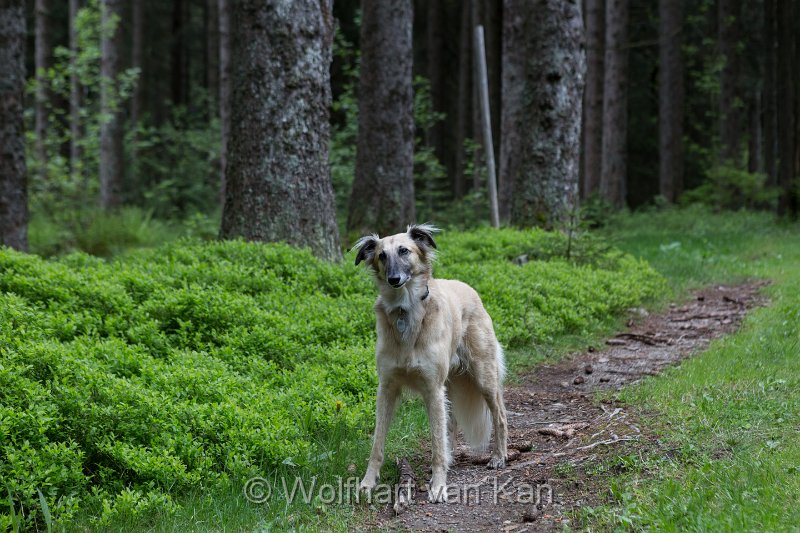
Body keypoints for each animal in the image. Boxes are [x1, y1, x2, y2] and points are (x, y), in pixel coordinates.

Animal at [352, 224, 506, 502]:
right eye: (381, 256)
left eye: (404, 251)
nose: (394, 279)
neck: (405, 311)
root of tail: (469, 289)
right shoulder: (387, 389)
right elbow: (377, 444)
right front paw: (368, 483)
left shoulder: (432, 389)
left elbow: (436, 442)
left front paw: (438, 486)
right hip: (451, 385)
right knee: (451, 423)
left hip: (483, 376)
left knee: (499, 415)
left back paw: (499, 456)